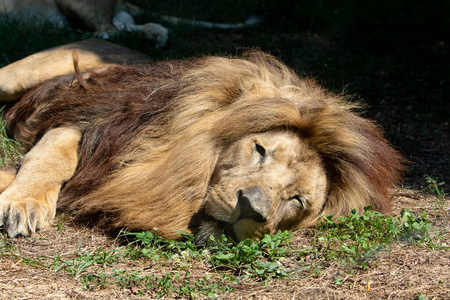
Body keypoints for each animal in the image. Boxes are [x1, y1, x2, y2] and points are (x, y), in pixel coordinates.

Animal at [0, 39, 402, 244]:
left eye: (297, 200)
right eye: (259, 150)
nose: (249, 209)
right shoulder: (87, 120)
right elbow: (51, 159)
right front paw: (23, 202)